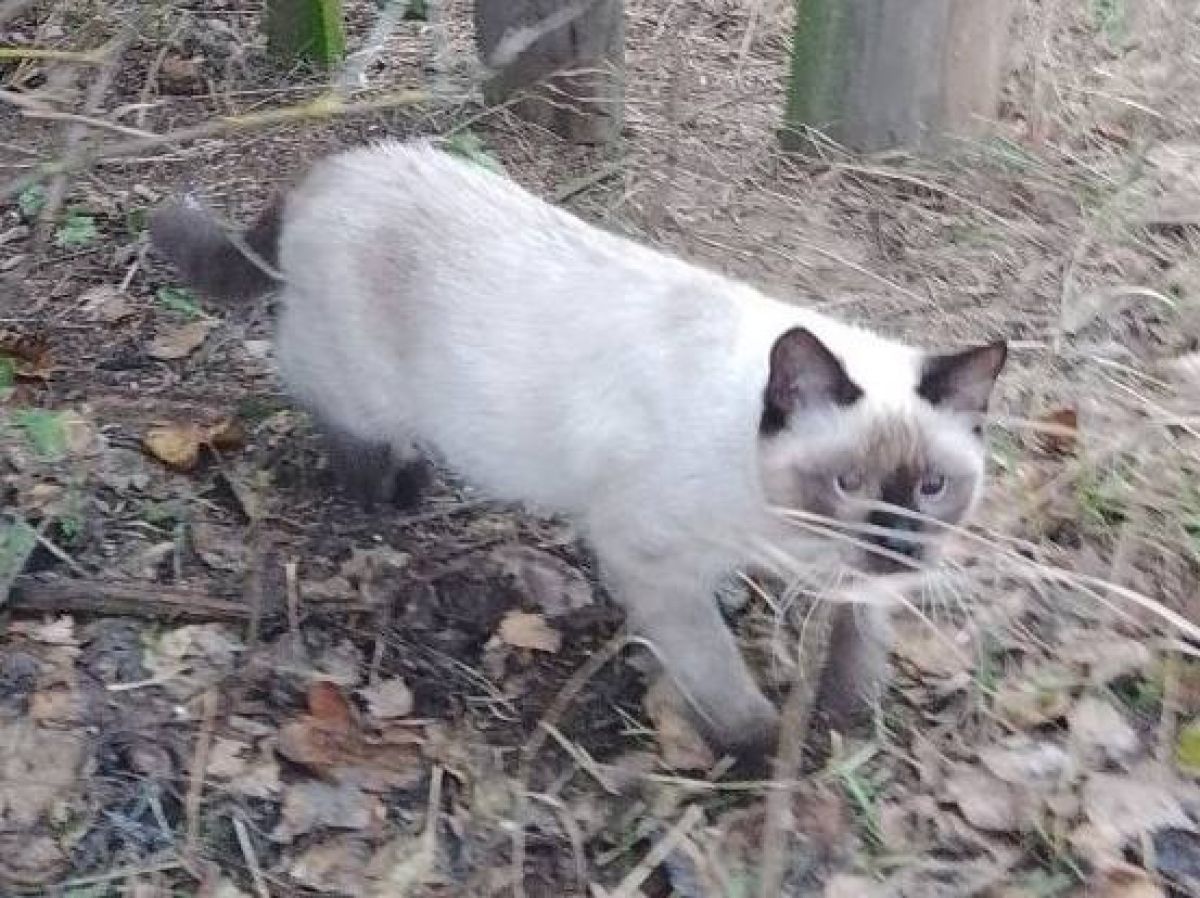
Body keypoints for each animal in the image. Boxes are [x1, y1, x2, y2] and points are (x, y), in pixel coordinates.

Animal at [149, 139, 1006, 760]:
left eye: (932, 487)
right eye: (847, 482)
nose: (900, 542)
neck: (778, 531)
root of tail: (333, 169)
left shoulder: (842, 570)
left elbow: (861, 627)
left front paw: (847, 713)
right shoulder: (653, 561)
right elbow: (719, 673)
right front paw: (764, 751)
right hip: (357, 384)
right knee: (320, 396)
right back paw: (389, 491)